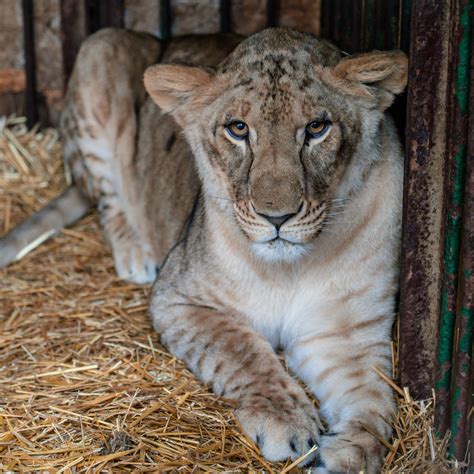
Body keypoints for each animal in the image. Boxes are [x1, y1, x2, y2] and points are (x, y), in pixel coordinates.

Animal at [0, 27, 408, 472]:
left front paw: (350, 453)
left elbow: (375, 402)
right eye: (238, 128)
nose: (277, 217)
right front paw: (288, 422)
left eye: (317, 127)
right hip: (100, 50)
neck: (289, 269)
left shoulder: (346, 335)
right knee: (104, 196)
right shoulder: (178, 298)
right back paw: (134, 255)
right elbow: (241, 352)